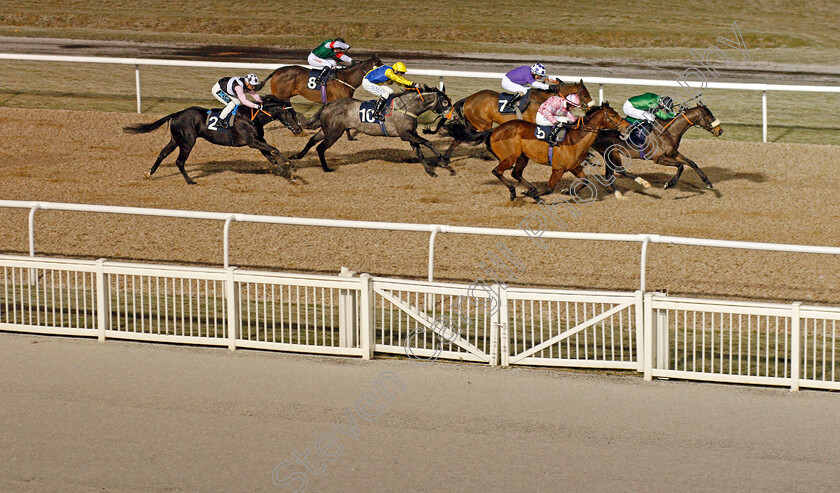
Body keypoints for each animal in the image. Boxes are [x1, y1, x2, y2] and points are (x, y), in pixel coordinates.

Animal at [124, 95, 302, 184]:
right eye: (290, 113)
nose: (299, 129)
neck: (252, 117)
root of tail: (176, 114)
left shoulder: (258, 142)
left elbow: (271, 157)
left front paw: (287, 174)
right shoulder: (252, 142)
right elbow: (274, 149)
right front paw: (291, 166)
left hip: (176, 140)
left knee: (162, 153)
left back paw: (149, 173)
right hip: (188, 142)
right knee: (179, 161)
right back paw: (190, 181)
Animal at [292, 87, 456, 177]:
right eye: (445, 102)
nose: (454, 116)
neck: (408, 107)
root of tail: (327, 105)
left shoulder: (410, 135)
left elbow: (420, 153)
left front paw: (430, 171)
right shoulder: (405, 134)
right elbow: (428, 142)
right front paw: (443, 161)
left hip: (327, 130)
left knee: (312, 140)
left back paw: (297, 156)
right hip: (334, 133)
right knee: (320, 147)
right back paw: (326, 168)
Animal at [430, 80, 592, 162]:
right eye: (584, 94)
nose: (590, 105)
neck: (542, 99)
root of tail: (469, 98)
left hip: (473, 123)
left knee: (459, 137)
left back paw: (445, 158)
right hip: (483, 123)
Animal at [482, 102, 628, 200]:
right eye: (613, 115)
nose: (627, 126)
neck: (576, 139)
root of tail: (495, 129)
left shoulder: (574, 167)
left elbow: (585, 181)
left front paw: (568, 191)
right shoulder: (558, 169)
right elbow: (549, 189)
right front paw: (533, 195)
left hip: (523, 156)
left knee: (516, 173)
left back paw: (529, 189)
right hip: (511, 156)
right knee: (497, 171)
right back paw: (514, 191)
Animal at [592, 103, 720, 195]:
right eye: (708, 116)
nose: (720, 130)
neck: (668, 132)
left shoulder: (673, 153)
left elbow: (692, 163)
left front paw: (708, 182)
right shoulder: (659, 158)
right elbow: (681, 166)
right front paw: (669, 184)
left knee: (610, 174)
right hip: (610, 152)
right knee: (617, 171)